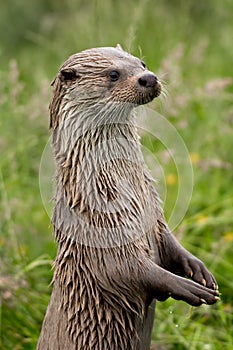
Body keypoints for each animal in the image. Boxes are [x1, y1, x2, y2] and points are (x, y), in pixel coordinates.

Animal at [36, 45, 218, 348]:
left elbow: (167, 238)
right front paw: (186, 286)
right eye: (113, 74)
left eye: (141, 63)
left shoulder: (153, 212)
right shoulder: (99, 229)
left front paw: (198, 269)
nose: (149, 77)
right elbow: (125, 268)